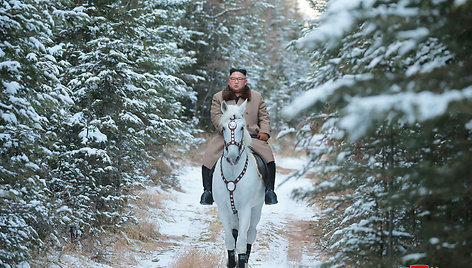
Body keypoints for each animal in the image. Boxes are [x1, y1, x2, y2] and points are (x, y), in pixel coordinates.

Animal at [213, 100, 266, 268]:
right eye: (223, 128)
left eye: (242, 127)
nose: (232, 156)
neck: (233, 171)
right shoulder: (223, 209)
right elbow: (230, 239)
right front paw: (231, 262)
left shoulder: (245, 209)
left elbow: (242, 242)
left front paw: (241, 262)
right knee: (235, 232)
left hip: (256, 208)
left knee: (250, 234)